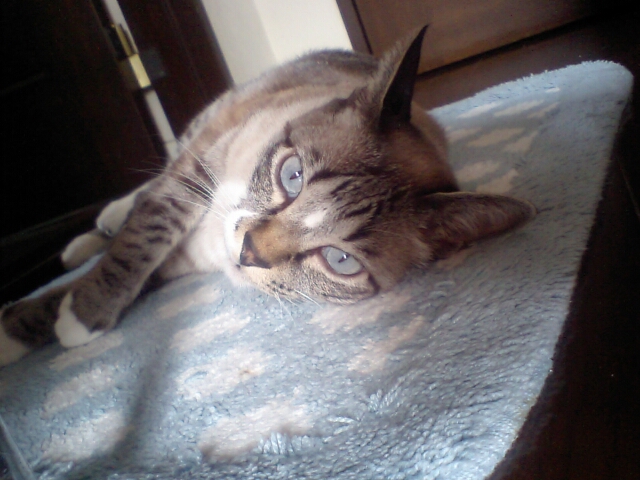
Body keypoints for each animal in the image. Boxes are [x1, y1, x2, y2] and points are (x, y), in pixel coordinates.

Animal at [0, 27, 535, 366]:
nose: (248, 252)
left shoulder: (184, 259)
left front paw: (30, 328)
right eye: (293, 176)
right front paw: (78, 315)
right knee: (137, 200)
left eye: (340, 260)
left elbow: (105, 281)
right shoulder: (193, 173)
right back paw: (90, 231)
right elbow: (139, 241)